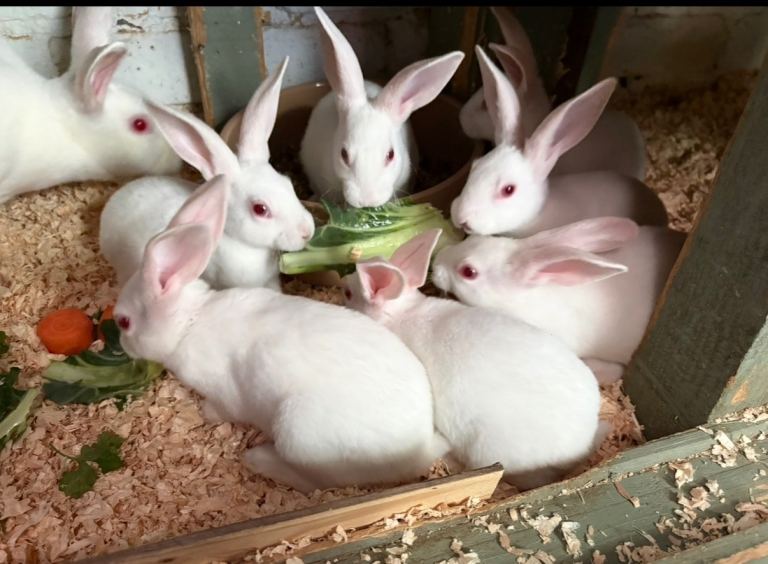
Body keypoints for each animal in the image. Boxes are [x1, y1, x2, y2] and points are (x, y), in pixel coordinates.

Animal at [113, 173, 449, 493]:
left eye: (124, 322)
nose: (124, 346)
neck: (189, 321)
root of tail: (419, 450)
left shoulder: (224, 393)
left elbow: (222, 408)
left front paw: (206, 412)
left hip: (297, 436)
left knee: (314, 483)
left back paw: (258, 459)